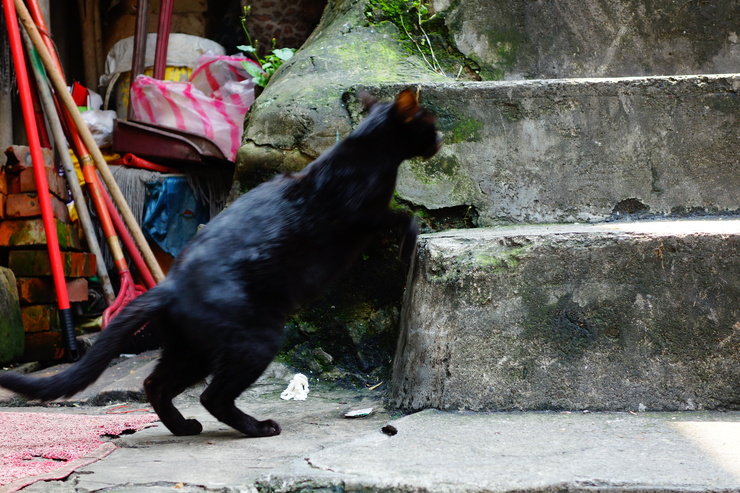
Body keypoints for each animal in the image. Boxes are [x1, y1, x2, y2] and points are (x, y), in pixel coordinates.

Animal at [0, 88, 440, 434]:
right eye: (430, 122)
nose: (439, 140)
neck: (371, 153)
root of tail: (169, 285)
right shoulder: (361, 215)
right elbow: (405, 216)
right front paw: (408, 245)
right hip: (255, 340)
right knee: (212, 395)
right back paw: (258, 427)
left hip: (190, 349)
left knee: (156, 385)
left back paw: (183, 428)